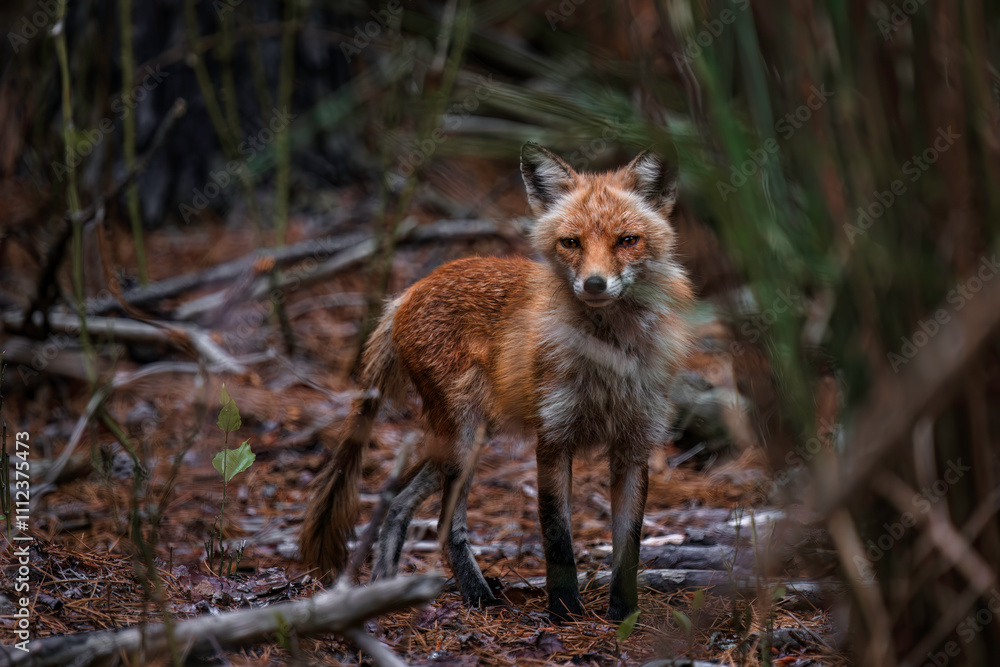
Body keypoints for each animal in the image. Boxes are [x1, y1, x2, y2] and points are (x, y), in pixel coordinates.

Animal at [299, 143, 696, 622]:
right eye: (571, 242)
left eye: (627, 241)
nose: (595, 284)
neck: (609, 358)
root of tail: (409, 291)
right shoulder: (553, 438)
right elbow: (557, 536)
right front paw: (564, 612)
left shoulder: (635, 445)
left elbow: (629, 545)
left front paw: (624, 616)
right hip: (464, 437)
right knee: (444, 523)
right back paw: (477, 595)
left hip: (465, 439)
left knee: (396, 504)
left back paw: (385, 588)